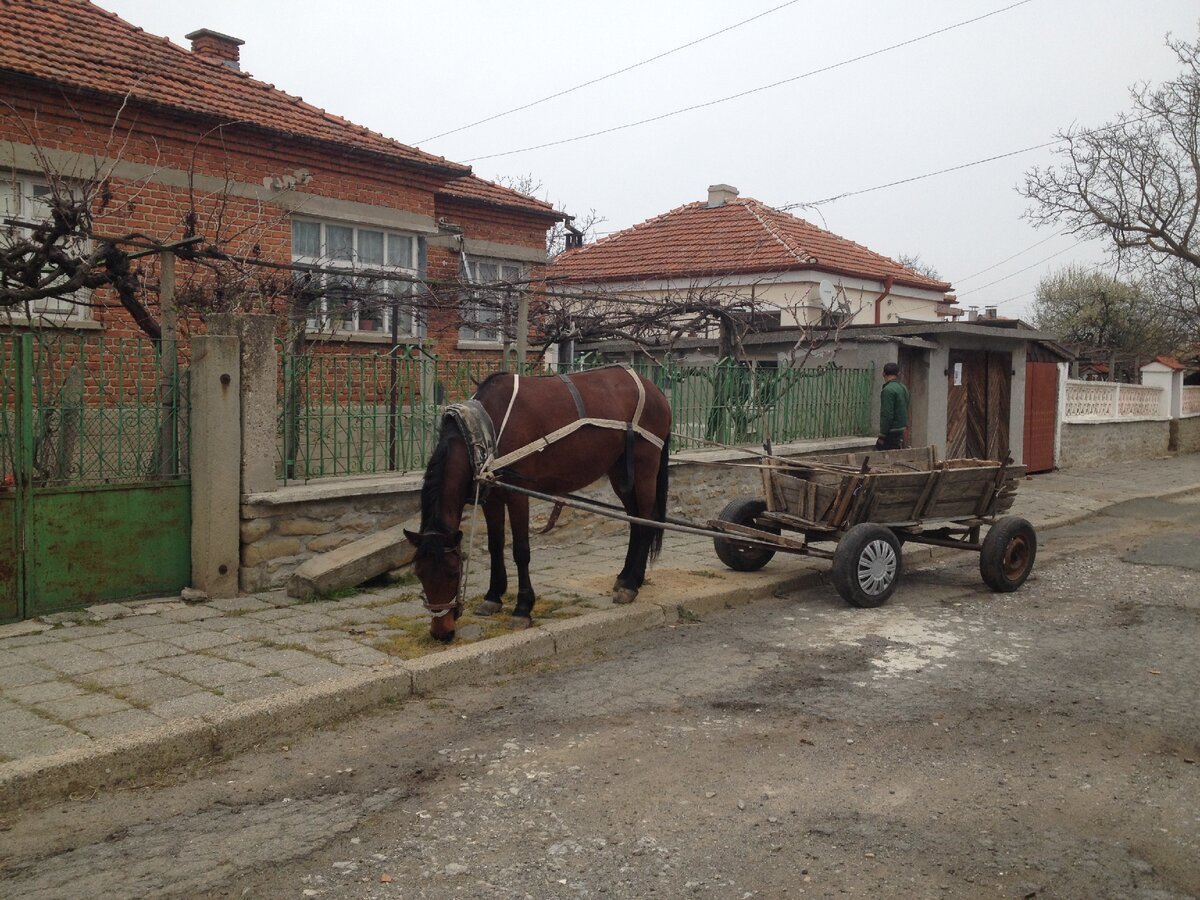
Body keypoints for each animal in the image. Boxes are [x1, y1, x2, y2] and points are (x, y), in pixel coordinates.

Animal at [405, 367, 672, 643]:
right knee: (635, 521)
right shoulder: (492, 495)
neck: (486, 428)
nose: (441, 632)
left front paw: (523, 608)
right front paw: (493, 597)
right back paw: (625, 577)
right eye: (419, 573)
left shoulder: (518, 495)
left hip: (644, 466)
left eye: (453, 573)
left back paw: (631, 585)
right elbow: (495, 545)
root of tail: (656, 390)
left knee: (647, 521)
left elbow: (520, 550)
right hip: (620, 472)